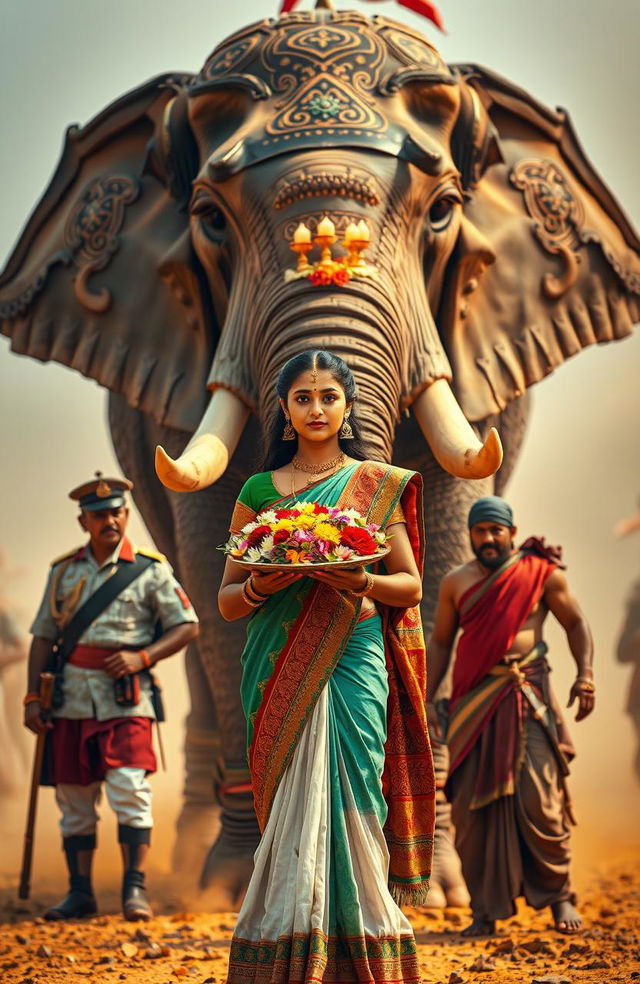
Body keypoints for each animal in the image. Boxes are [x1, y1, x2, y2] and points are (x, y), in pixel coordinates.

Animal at [0, 3, 636, 908]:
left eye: (443, 211)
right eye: (209, 219)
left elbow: (438, 548)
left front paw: (434, 895)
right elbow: (213, 570)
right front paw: (234, 890)